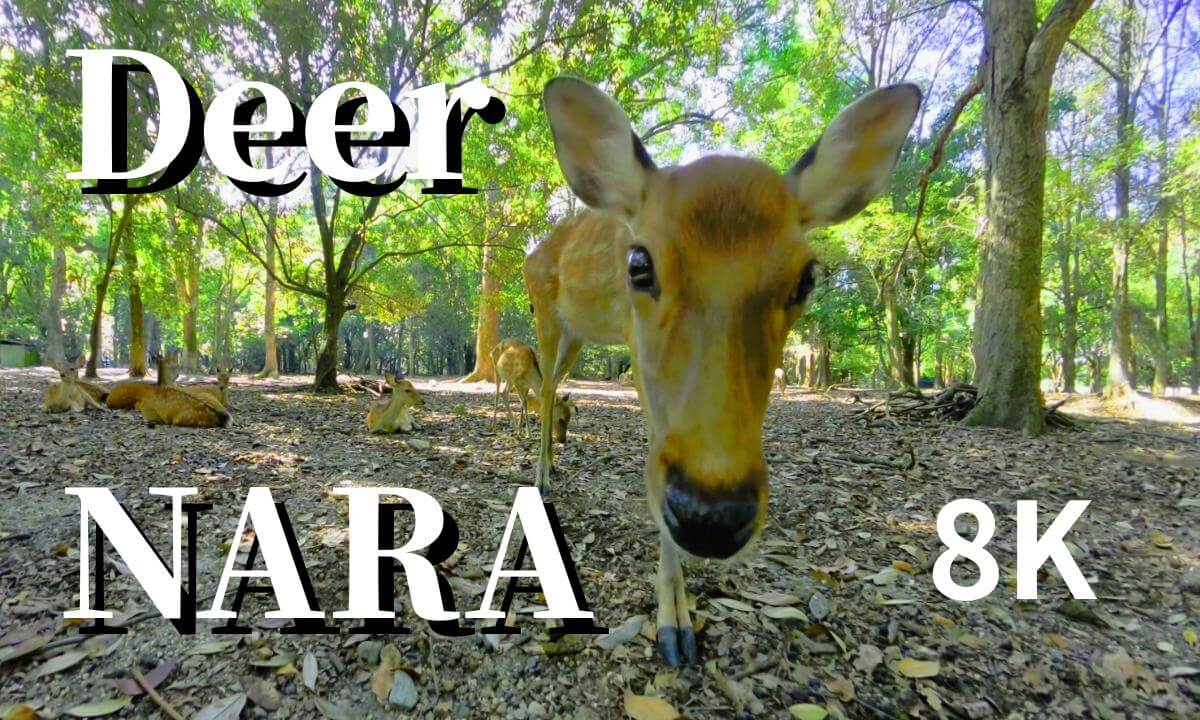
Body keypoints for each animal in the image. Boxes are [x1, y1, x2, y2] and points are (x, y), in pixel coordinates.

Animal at [526, 76, 920, 666]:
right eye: (638, 263)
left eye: (807, 277)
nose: (711, 515)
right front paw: (673, 624)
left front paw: (678, 615)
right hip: (545, 315)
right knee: (546, 386)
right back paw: (541, 475)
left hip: (577, 333)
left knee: (554, 386)